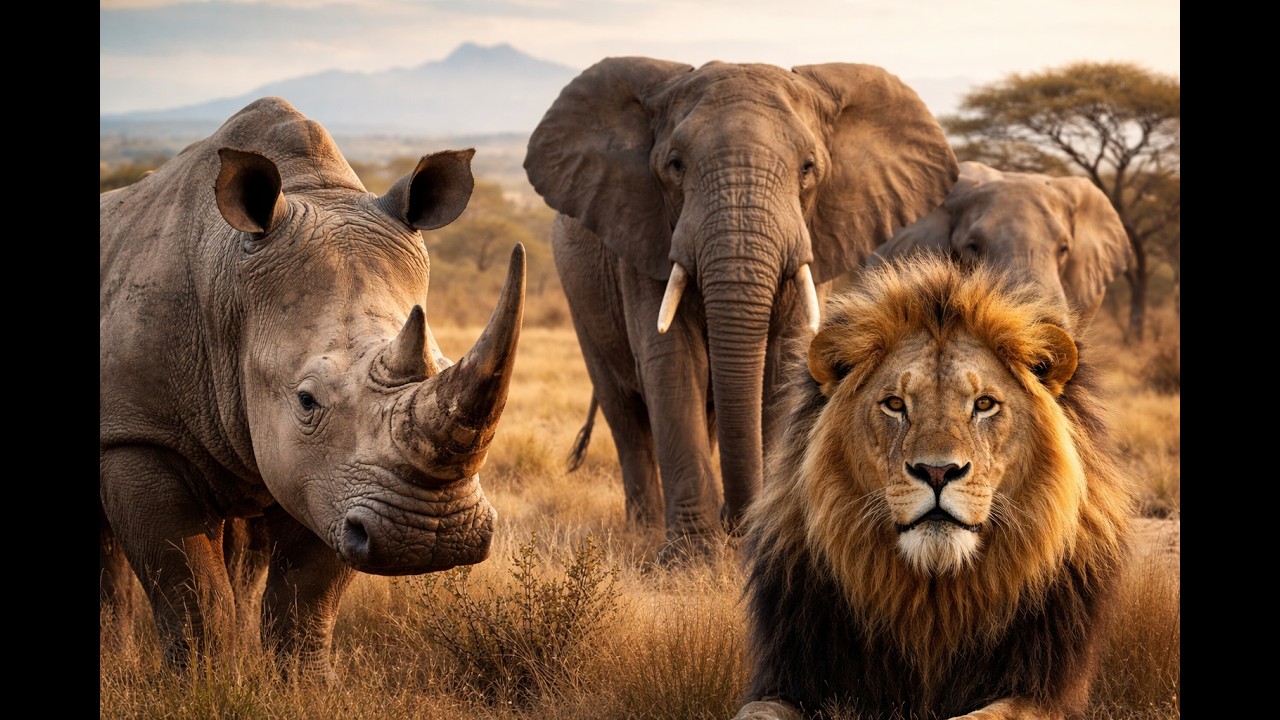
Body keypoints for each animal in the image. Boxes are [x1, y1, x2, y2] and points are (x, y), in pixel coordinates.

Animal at [99, 96, 525, 681]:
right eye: (306, 400)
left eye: (442, 364)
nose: (434, 536)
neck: (227, 287)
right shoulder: (137, 430)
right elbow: (189, 586)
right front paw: (205, 686)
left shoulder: (331, 478)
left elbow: (307, 592)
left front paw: (302, 686)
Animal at [733, 255, 1135, 720]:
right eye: (895, 404)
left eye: (984, 404)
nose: (938, 472)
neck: (935, 596)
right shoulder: (792, 678)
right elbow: (755, 712)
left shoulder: (1047, 691)